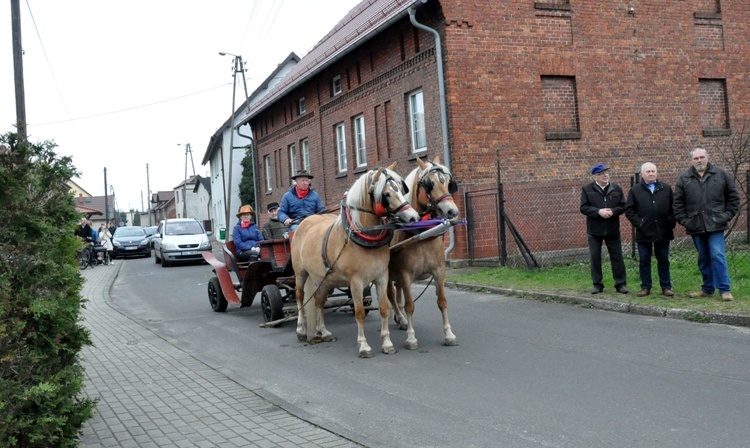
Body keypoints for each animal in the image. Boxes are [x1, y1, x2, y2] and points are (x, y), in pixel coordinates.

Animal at [294, 164, 424, 356]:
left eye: (401, 190)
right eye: (386, 194)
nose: (413, 217)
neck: (363, 234)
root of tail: (306, 220)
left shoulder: (381, 277)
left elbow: (384, 308)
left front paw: (387, 343)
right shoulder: (355, 282)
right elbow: (360, 312)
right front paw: (364, 345)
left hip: (324, 279)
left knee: (318, 300)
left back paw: (322, 332)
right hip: (301, 274)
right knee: (300, 296)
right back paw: (301, 330)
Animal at [390, 157, 462, 350]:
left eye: (448, 182)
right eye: (430, 184)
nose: (452, 211)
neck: (420, 233)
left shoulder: (439, 271)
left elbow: (442, 302)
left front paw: (449, 335)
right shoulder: (405, 274)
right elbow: (409, 305)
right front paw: (411, 338)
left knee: (396, 292)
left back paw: (400, 319)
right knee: (390, 296)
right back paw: (401, 318)